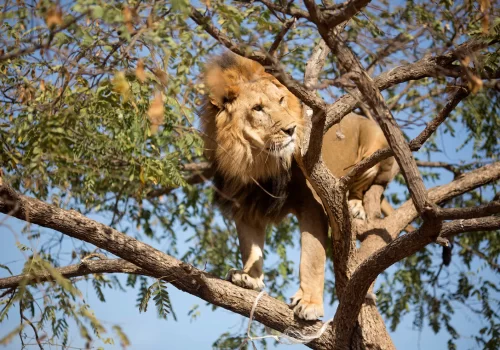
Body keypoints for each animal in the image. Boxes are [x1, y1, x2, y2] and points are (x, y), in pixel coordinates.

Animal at [201, 52, 396, 320]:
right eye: (258, 108)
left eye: (281, 100)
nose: (291, 129)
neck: (256, 161)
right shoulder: (245, 202)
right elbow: (250, 246)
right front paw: (249, 277)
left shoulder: (313, 202)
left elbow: (312, 256)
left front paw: (310, 303)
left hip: (374, 144)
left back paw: (355, 205)